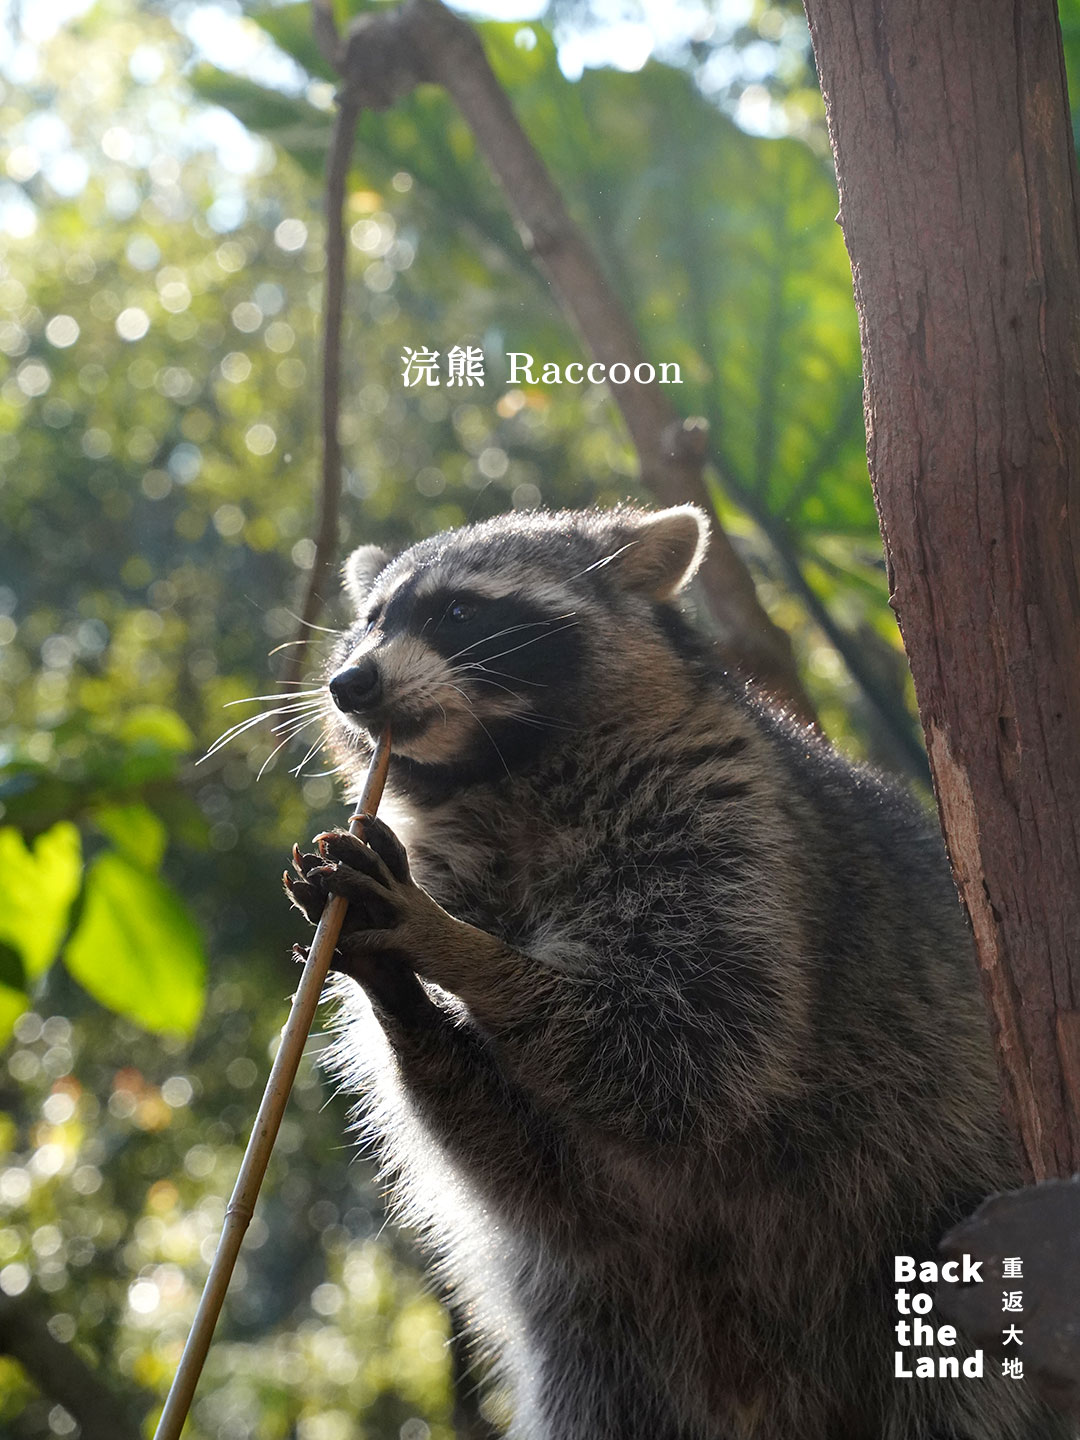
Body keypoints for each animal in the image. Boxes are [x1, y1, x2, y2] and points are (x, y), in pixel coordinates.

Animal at [285, 505, 1067, 1440]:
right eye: (368, 621)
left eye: (459, 613)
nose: (350, 684)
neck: (504, 777)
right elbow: (534, 1161)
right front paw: (404, 1000)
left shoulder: (725, 819)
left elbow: (686, 1050)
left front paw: (460, 950)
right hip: (610, 1351)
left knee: (962, 1398)